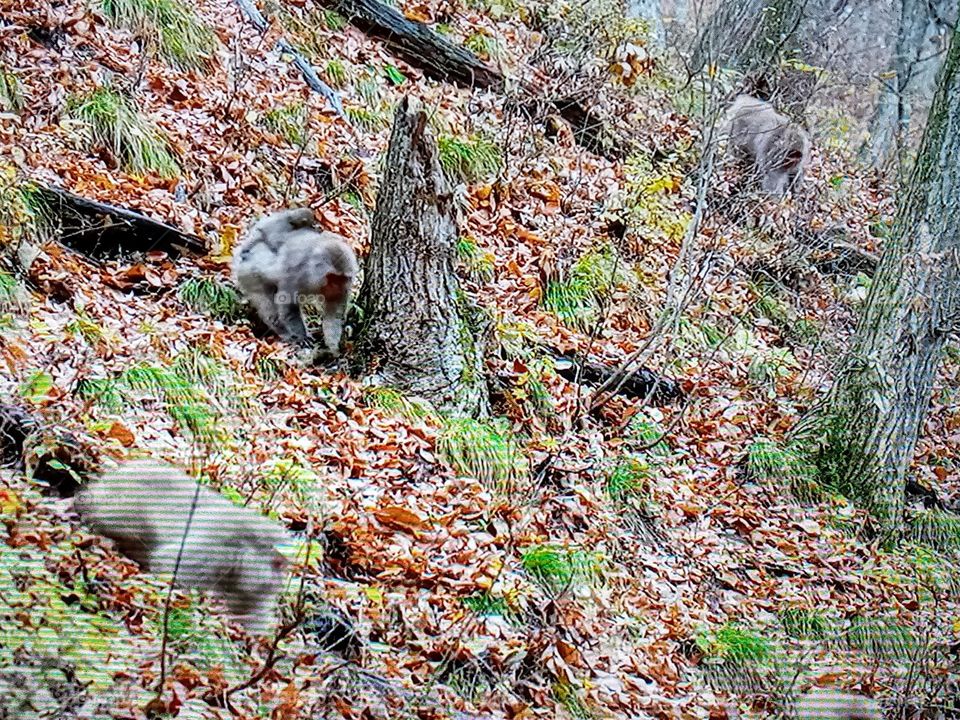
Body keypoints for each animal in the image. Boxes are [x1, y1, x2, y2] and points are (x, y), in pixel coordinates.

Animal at [231, 209, 359, 357]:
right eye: (333, 278)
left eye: (342, 279)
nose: (337, 287)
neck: (312, 271)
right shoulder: (294, 276)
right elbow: (289, 306)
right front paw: (302, 337)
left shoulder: (345, 288)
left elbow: (334, 312)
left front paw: (333, 347)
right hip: (248, 273)